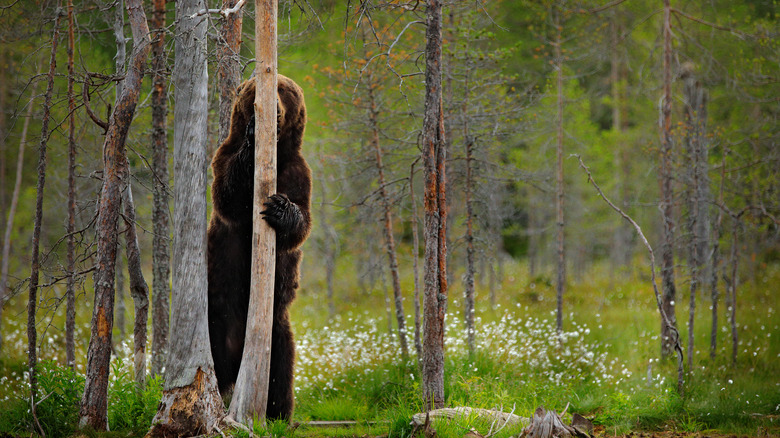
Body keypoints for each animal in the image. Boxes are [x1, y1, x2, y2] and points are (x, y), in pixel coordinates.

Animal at [207, 73, 310, 420]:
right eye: (256, 88)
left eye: (286, 89)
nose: (272, 109)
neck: (275, 155)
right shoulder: (222, 156)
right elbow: (228, 195)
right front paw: (254, 131)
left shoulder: (298, 173)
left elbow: (301, 223)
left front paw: (280, 208)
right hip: (216, 315)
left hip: (277, 330)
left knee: (281, 370)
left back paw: (278, 414)